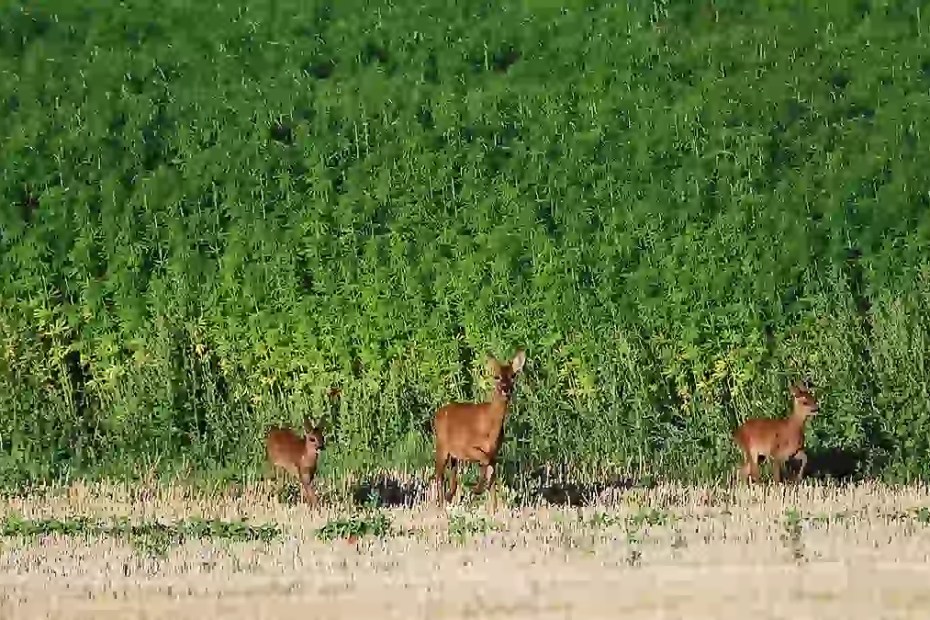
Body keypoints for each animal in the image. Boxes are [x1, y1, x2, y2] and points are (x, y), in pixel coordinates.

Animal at [433, 349, 526, 510]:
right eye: (496, 376)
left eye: (513, 375)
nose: (506, 389)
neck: (490, 425)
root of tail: (436, 414)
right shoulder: (467, 447)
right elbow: (485, 462)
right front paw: (476, 489)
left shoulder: (494, 452)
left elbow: (492, 477)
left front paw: (493, 508)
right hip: (442, 446)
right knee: (438, 475)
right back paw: (442, 503)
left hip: (452, 454)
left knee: (452, 474)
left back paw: (450, 495)